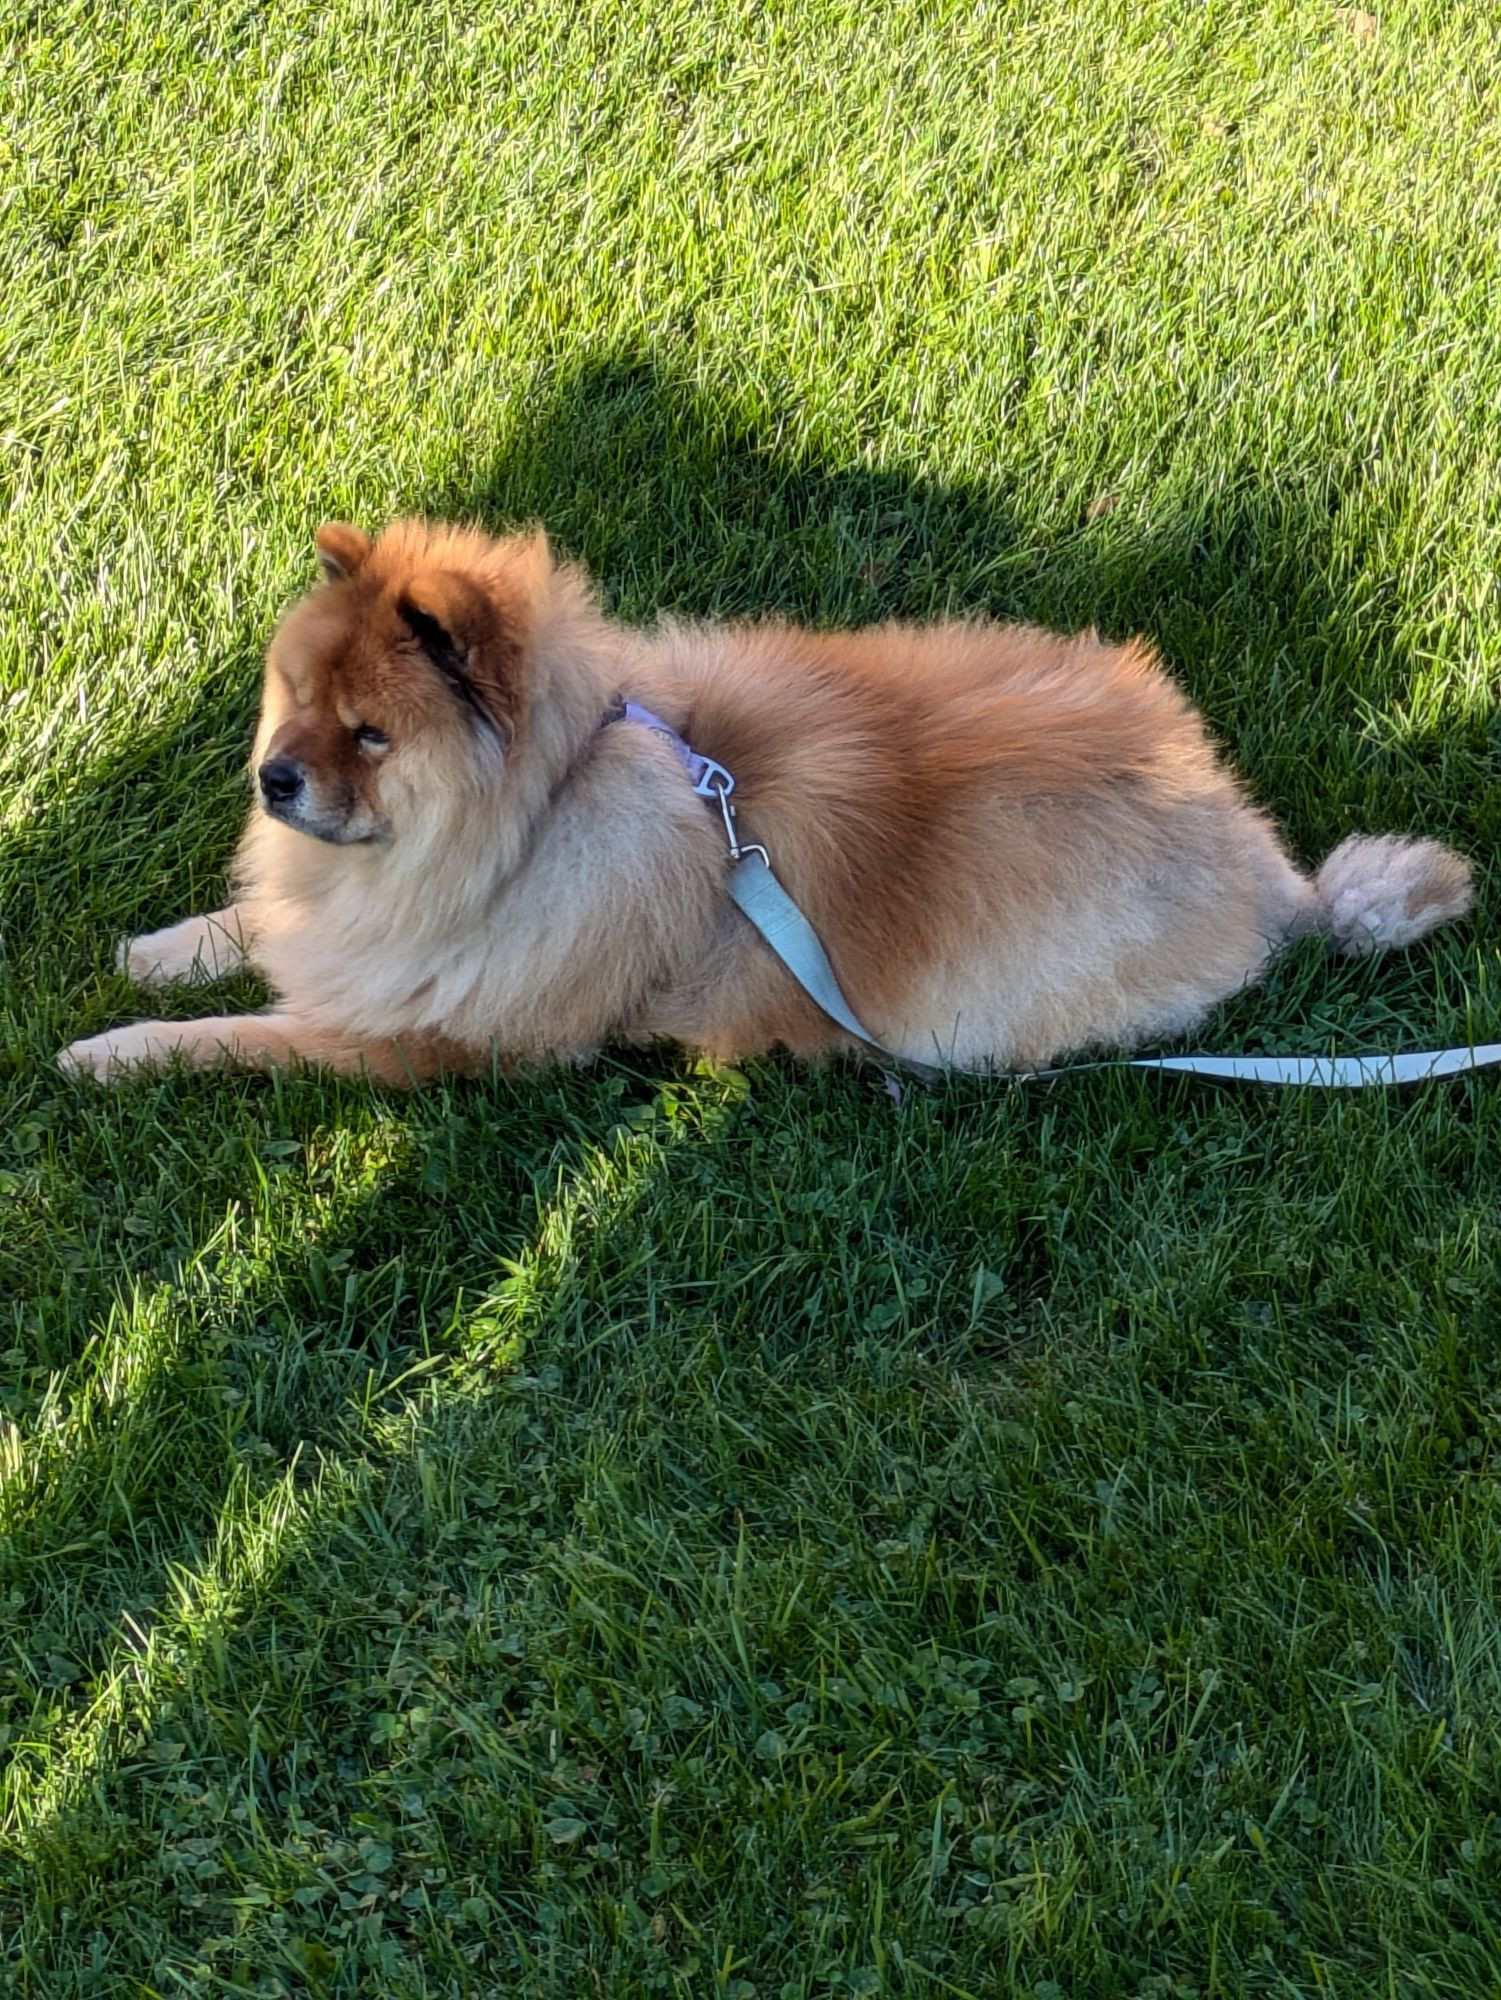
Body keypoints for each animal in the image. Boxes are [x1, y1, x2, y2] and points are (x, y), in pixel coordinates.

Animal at [61, 516, 1480, 1080]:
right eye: (292, 699)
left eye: (367, 733)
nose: (274, 777)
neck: (547, 802)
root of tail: (1262, 862)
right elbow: (247, 936)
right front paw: (152, 951)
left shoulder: (433, 1037)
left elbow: (245, 1038)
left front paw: (109, 1053)